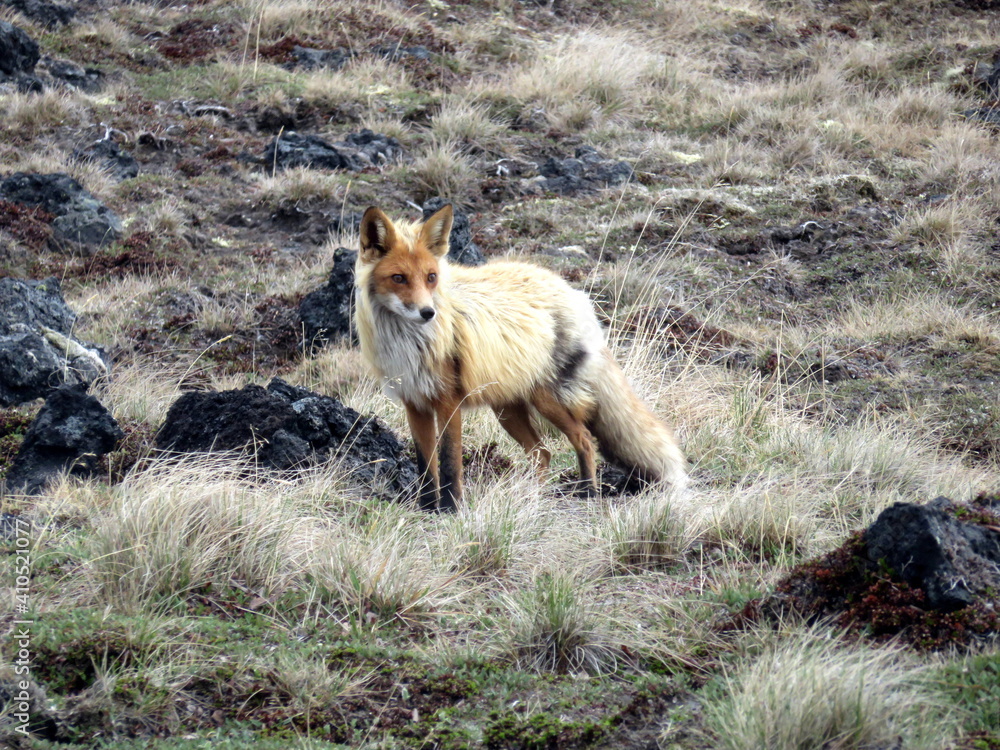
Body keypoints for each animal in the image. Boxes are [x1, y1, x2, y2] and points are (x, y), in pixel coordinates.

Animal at [354, 203, 687, 512]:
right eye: (399, 278)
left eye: (431, 277)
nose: (427, 313)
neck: (409, 344)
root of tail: (571, 291)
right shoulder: (415, 404)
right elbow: (426, 465)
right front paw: (426, 510)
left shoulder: (449, 401)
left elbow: (449, 463)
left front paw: (450, 509)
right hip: (507, 410)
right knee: (542, 453)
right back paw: (535, 498)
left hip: (548, 400)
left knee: (583, 438)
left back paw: (588, 492)